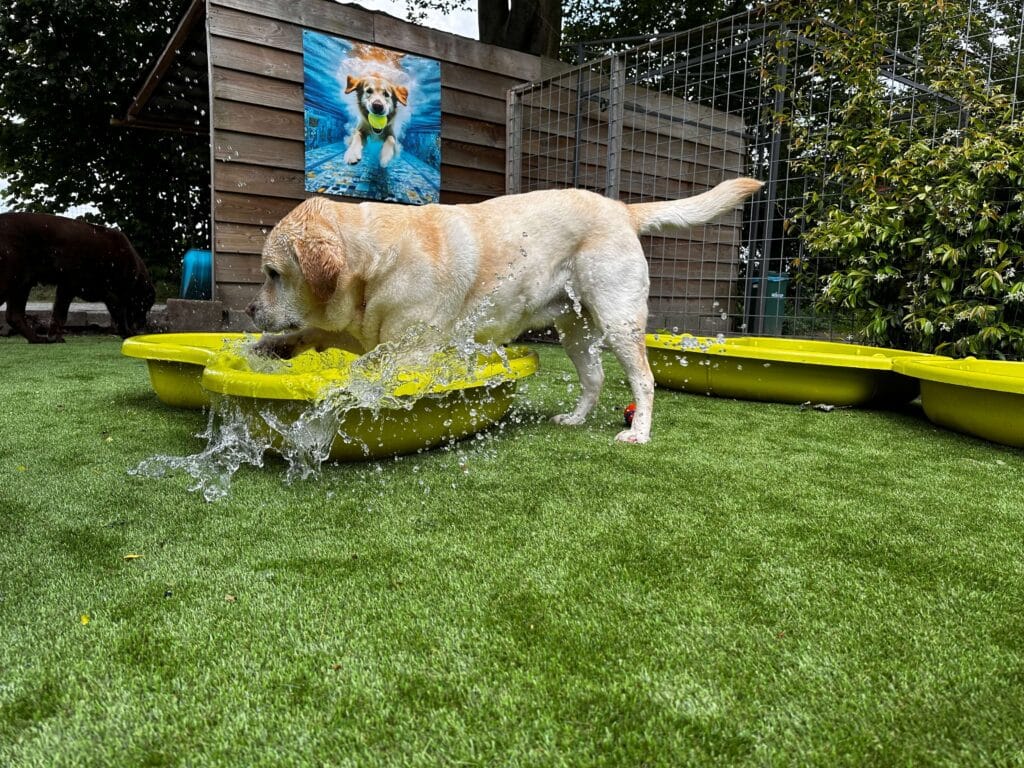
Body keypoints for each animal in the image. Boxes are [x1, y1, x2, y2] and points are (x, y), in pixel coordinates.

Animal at [0, 211, 155, 342]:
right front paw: (128, 334)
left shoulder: (66, 287)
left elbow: (59, 314)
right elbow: (120, 316)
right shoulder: (111, 295)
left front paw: (54, 337)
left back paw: (36, 339)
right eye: (145, 306)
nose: (143, 328)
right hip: (12, 278)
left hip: (22, 283)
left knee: (14, 316)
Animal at [245, 180, 761, 442]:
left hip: (618, 318)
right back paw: (576, 419)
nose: (249, 309)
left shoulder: (409, 349)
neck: (375, 260)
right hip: (574, 330)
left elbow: (367, 370)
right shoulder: (361, 328)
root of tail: (621, 209)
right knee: (594, 378)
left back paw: (639, 433)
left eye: (272, 273)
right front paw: (270, 347)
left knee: (644, 380)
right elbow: (318, 333)